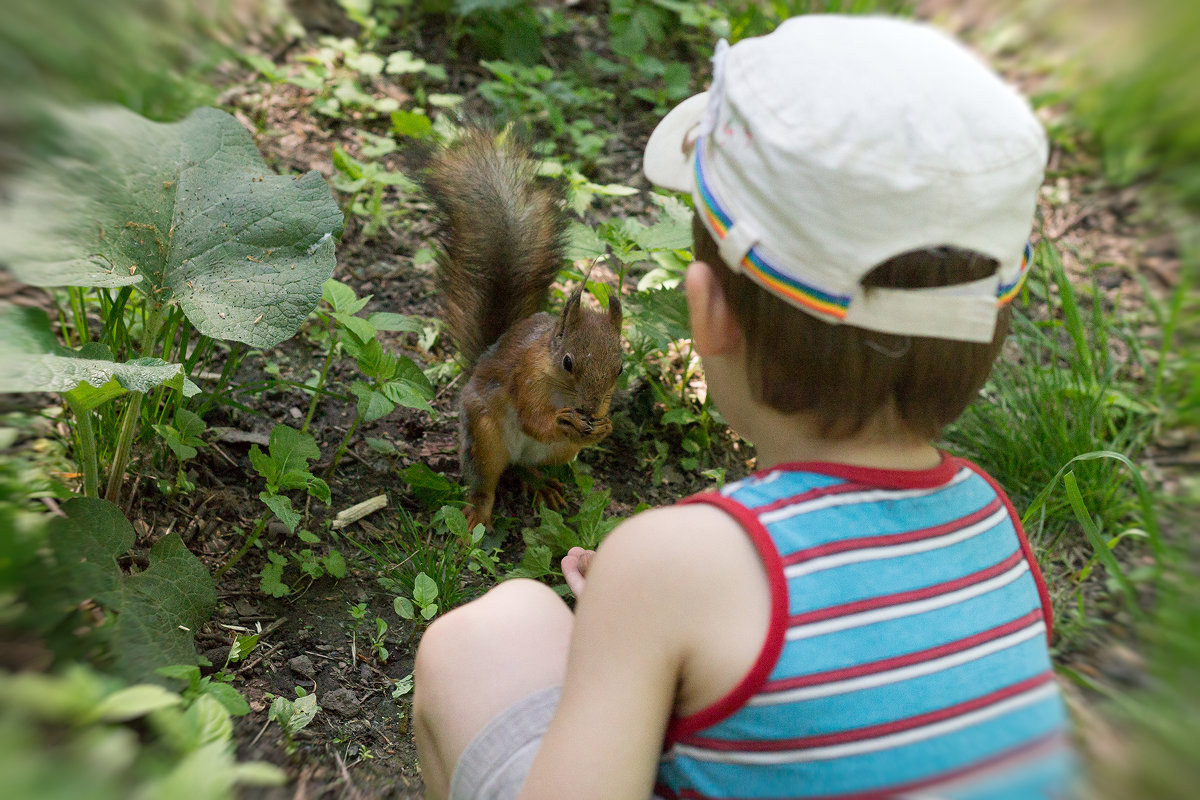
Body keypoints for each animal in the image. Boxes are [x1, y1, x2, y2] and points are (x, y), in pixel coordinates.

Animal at [420, 128, 624, 527]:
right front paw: (562, 420)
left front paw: (604, 427)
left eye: (620, 369)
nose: (592, 409)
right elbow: (533, 419)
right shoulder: (526, 378)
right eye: (568, 362)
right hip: (483, 437)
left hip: (555, 454)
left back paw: (542, 485)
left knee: (525, 467)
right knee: (487, 481)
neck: (562, 390)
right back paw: (476, 514)